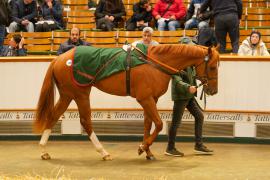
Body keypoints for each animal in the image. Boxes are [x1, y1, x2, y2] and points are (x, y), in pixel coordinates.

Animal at [34, 44, 219, 161]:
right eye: (212, 67)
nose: (213, 91)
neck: (154, 62)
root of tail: (59, 58)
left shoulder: (151, 99)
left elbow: (148, 124)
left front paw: (148, 152)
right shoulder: (145, 98)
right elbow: (159, 124)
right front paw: (142, 147)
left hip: (67, 95)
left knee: (53, 116)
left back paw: (43, 150)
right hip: (80, 94)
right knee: (86, 121)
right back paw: (103, 152)